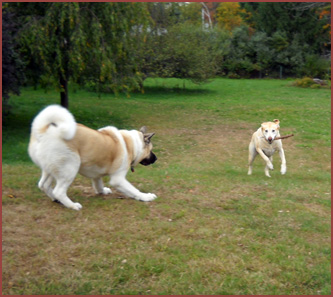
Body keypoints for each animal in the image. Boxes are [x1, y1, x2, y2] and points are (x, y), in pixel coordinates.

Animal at [28, 105, 157, 209]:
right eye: (151, 150)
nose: (156, 159)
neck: (131, 144)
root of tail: (42, 132)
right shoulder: (118, 179)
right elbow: (134, 190)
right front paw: (145, 196)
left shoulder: (96, 174)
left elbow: (99, 185)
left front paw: (102, 191)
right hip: (70, 168)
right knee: (58, 191)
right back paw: (72, 205)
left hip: (51, 170)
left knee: (43, 185)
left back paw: (56, 200)